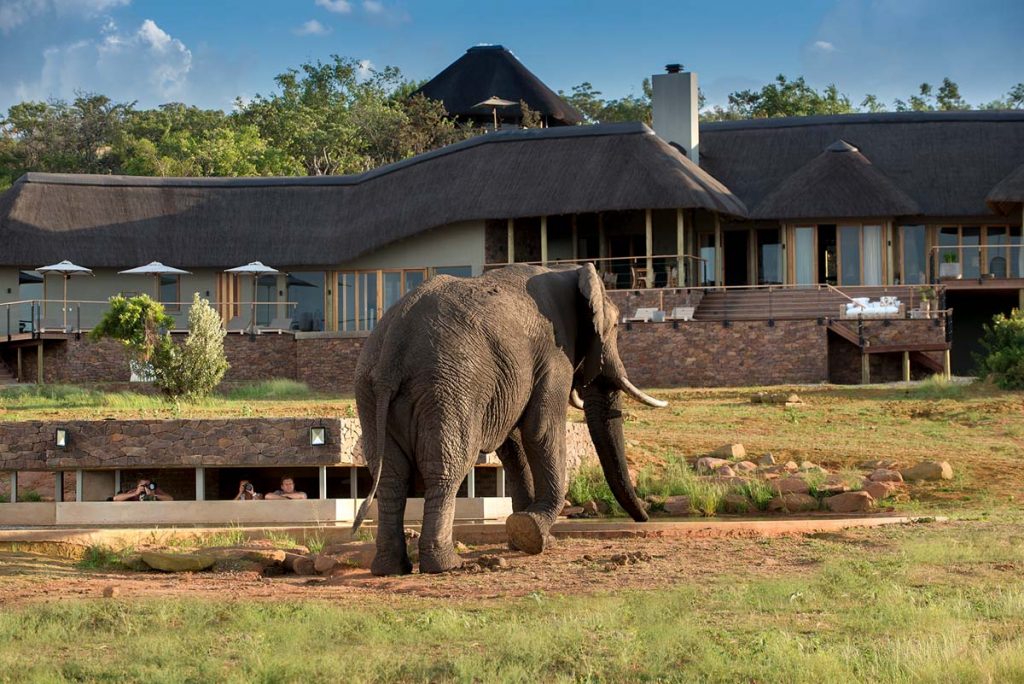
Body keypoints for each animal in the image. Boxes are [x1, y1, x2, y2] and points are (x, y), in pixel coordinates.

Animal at [352, 264, 667, 573]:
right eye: (614, 327)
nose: (644, 519)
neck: (568, 271)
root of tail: (392, 349)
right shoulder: (554, 355)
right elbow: (541, 430)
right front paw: (533, 530)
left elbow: (513, 444)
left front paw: (530, 538)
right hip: (448, 388)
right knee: (446, 468)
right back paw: (445, 565)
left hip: (369, 392)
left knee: (391, 475)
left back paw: (391, 568)